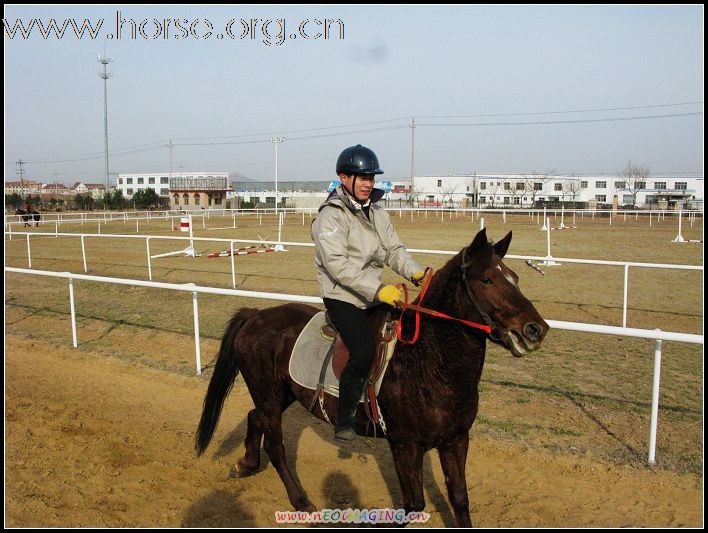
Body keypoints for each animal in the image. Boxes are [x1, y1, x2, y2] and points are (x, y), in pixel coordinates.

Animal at [196, 227, 552, 524]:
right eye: (487, 280)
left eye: (515, 277)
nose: (536, 329)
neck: (429, 363)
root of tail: (256, 315)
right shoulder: (405, 445)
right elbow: (413, 506)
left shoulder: (456, 440)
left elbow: (460, 499)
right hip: (270, 397)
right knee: (277, 446)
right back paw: (301, 502)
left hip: (280, 395)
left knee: (254, 416)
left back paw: (246, 464)